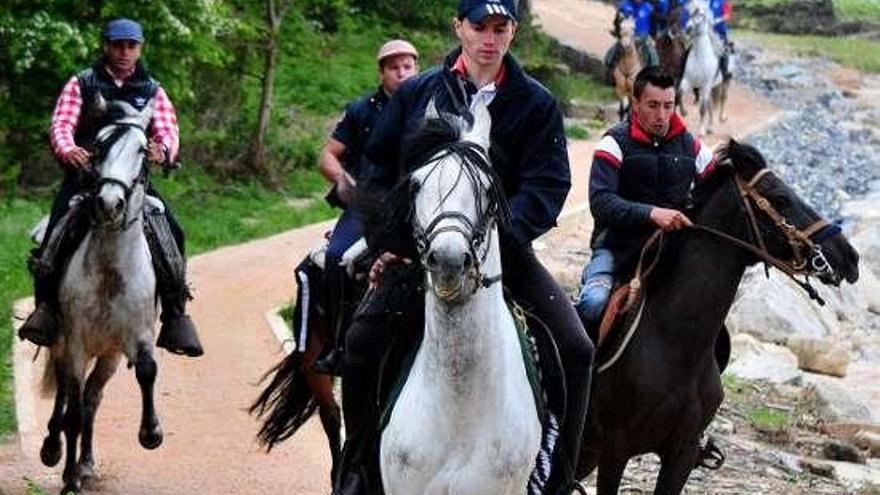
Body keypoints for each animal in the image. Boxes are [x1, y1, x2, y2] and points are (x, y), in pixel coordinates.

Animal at [40, 98, 163, 495]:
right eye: (98, 146)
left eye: (141, 149)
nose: (109, 203)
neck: (111, 272)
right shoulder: (76, 343)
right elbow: (73, 412)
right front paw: (68, 480)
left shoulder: (137, 336)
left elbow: (147, 370)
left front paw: (151, 433)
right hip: (62, 344)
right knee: (67, 396)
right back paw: (55, 451)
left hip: (107, 355)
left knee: (93, 399)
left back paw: (86, 463)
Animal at [680, 0, 728, 136]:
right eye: (689, 13)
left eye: (701, 14)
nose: (688, 29)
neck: (700, 57)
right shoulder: (687, 81)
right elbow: (678, 95)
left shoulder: (705, 85)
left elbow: (702, 109)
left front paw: (701, 131)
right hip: (710, 87)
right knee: (710, 104)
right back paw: (710, 127)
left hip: (724, 81)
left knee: (723, 98)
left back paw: (722, 117)